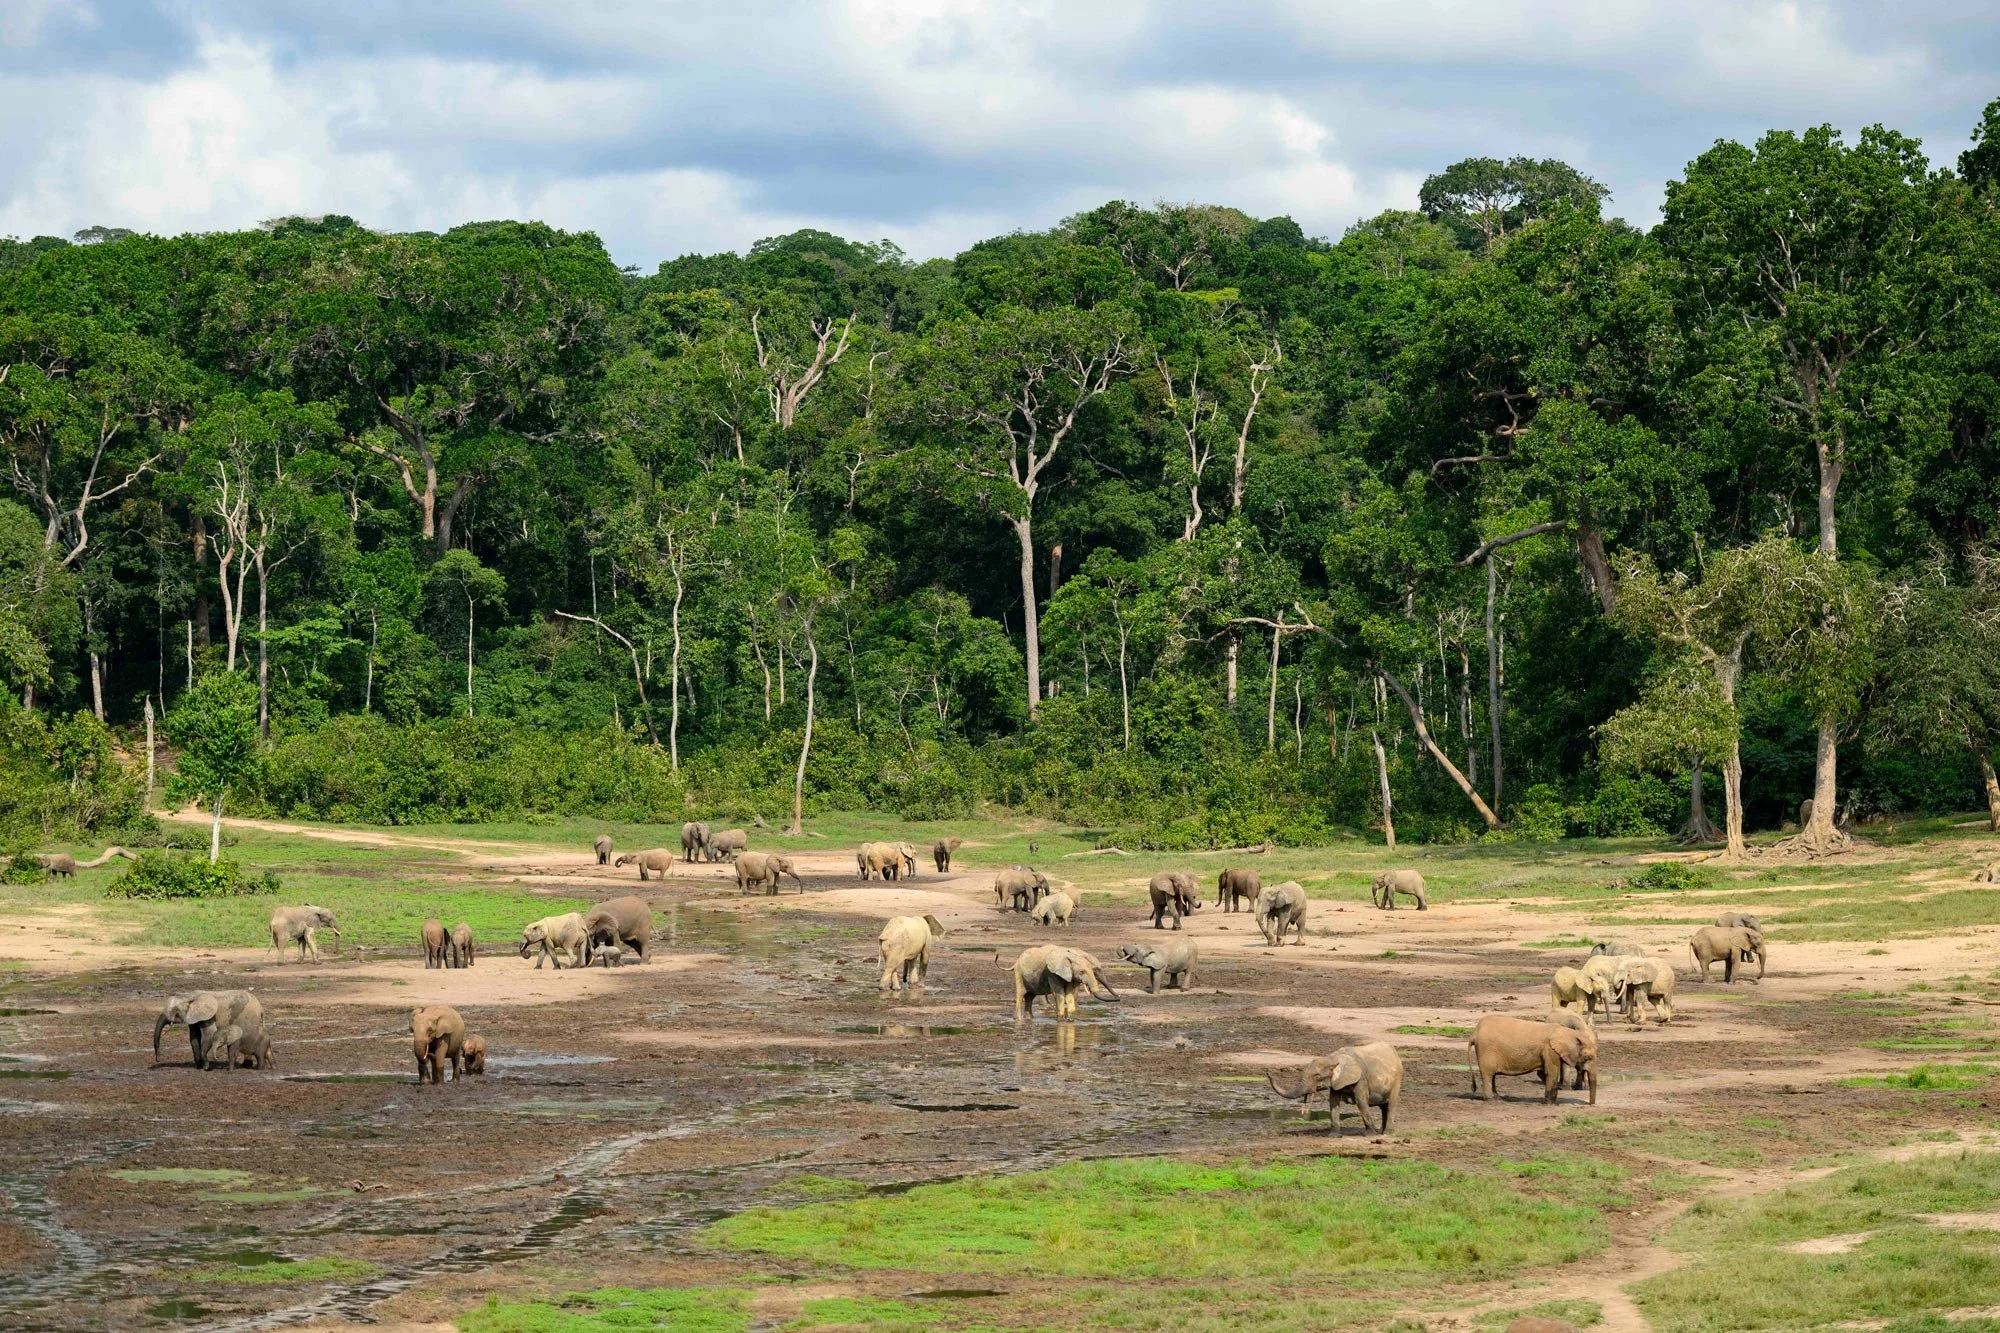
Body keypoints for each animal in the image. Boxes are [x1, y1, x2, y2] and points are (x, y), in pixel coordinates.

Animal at [1268, 1042, 1403, 1133]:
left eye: (1317, 1076)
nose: (1268, 1073)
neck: (1332, 1058)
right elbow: (1333, 1102)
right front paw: (1333, 1135)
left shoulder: (1361, 1079)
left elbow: (1361, 1102)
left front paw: (1370, 1134)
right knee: (1384, 1106)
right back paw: (1381, 1132)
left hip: (1397, 1079)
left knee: (1391, 1104)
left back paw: (1387, 1133)